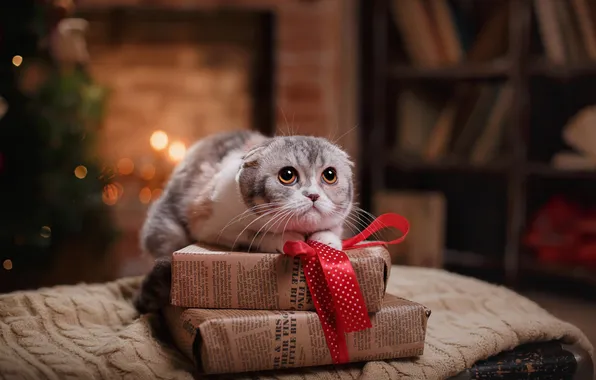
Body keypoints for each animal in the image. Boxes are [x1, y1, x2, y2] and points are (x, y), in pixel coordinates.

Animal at [134, 129, 354, 314]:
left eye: (330, 175)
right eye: (287, 175)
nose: (313, 195)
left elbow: (332, 229)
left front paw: (326, 241)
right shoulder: (212, 225)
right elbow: (255, 234)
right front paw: (285, 238)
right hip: (167, 230)